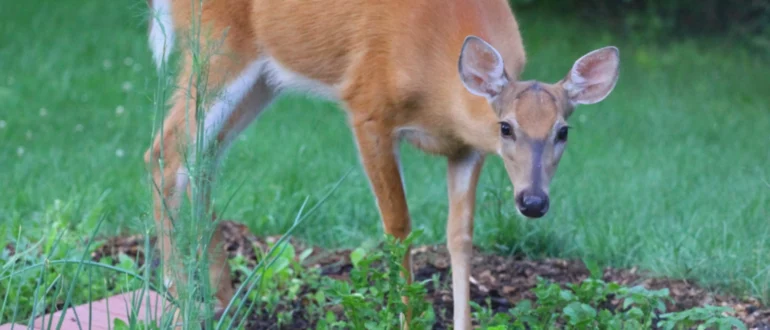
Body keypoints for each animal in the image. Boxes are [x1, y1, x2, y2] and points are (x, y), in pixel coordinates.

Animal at [142, 0, 616, 328]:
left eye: (563, 131)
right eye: (506, 127)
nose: (533, 201)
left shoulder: (466, 150)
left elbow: (460, 238)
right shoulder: (367, 109)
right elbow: (399, 228)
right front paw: (405, 317)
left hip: (263, 78)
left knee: (202, 159)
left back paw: (220, 299)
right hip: (218, 45)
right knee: (166, 150)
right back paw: (177, 302)